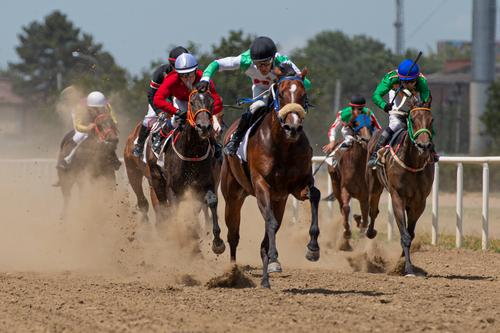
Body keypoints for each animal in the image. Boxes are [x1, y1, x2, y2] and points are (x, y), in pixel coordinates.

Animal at [146, 89, 225, 254]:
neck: (192, 152)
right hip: (157, 180)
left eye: (211, 103)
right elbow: (176, 211)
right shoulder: (174, 189)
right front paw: (186, 241)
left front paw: (217, 242)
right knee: (165, 208)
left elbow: (211, 201)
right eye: (192, 103)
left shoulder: (206, 184)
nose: (204, 127)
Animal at [222, 65, 320, 288]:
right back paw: (232, 271)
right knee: (233, 234)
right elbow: (271, 223)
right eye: (281, 94)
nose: (293, 128)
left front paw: (313, 249)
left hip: (279, 200)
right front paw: (274, 255)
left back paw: (266, 278)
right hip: (233, 196)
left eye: (303, 95)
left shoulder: (298, 186)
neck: (283, 146)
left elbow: (316, 195)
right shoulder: (261, 186)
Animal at [328, 113, 376, 250]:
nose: (366, 139)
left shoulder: (365, 195)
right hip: (335, 184)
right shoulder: (345, 188)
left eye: (370, 124)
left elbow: (365, 216)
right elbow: (345, 208)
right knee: (341, 206)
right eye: (356, 124)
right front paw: (347, 234)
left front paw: (360, 225)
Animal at [366, 96, 436, 274]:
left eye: (431, 120)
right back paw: (370, 232)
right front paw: (408, 268)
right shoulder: (398, 196)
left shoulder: (419, 202)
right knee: (373, 209)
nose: (424, 146)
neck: (412, 162)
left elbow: (410, 233)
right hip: (374, 185)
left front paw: (402, 262)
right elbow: (404, 235)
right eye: (413, 119)